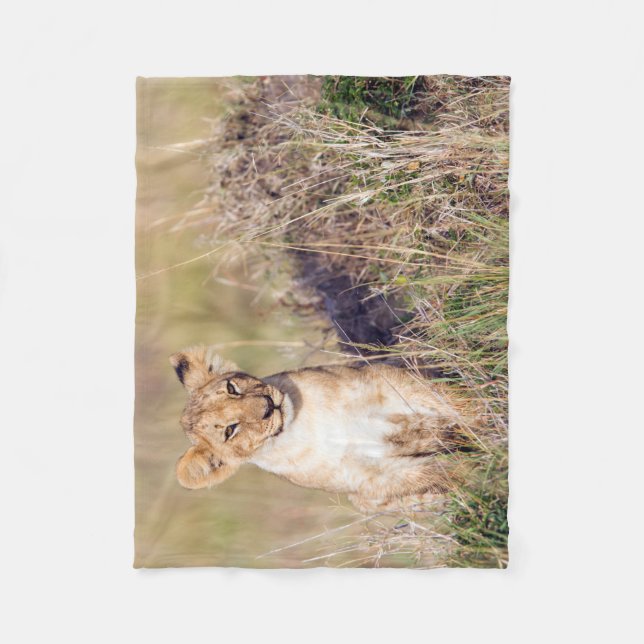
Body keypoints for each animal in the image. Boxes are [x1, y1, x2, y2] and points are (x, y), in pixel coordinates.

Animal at [169, 345, 469, 512]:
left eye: (232, 388)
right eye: (229, 431)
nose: (267, 406)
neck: (305, 427)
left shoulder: (390, 385)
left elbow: (461, 406)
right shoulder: (375, 477)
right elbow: (439, 472)